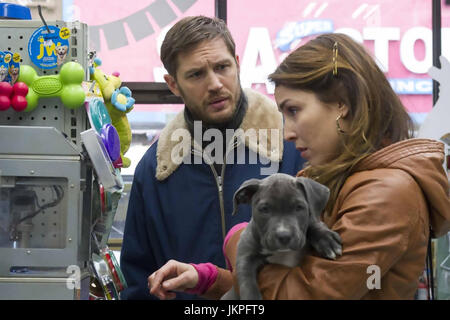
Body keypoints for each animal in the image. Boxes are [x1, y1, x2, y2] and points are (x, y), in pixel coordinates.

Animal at [223, 172, 342, 300]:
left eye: (299, 207)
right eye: (264, 209)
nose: (284, 235)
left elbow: (312, 223)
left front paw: (326, 239)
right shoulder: (245, 256)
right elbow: (247, 282)